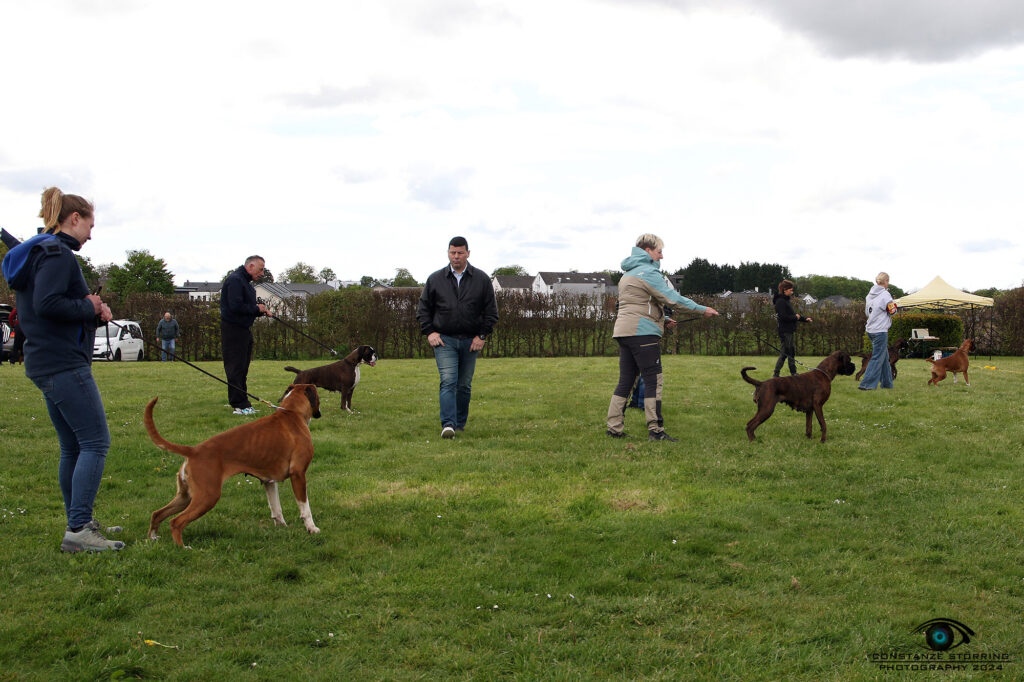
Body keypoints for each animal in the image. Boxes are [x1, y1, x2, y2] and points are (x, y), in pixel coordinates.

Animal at [146, 382, 321, 548]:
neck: (291, 412)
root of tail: (193, 451)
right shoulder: (298, 474)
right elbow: (305, 507)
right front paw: (312, 528)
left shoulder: (269, 481)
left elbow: (276, 508)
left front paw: (282, 528)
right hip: (207, 496)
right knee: (176, 522)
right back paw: (183, 548)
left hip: (186, 497)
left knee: (157, 514)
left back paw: (153, 538)